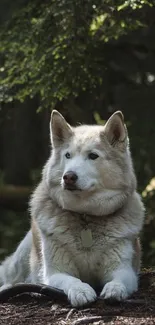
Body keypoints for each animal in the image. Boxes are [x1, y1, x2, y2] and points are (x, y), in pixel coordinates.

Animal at [0, 110, 145, 306]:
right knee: (12, 278)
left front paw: (114, 290)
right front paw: (81, 291)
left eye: (93, 156)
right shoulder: (55, 273)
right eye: (68, 155)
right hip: (22, 258)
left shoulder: (124, 270)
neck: (85, 216)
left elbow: (118, 281)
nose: (68, 177)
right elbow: (72, 280)